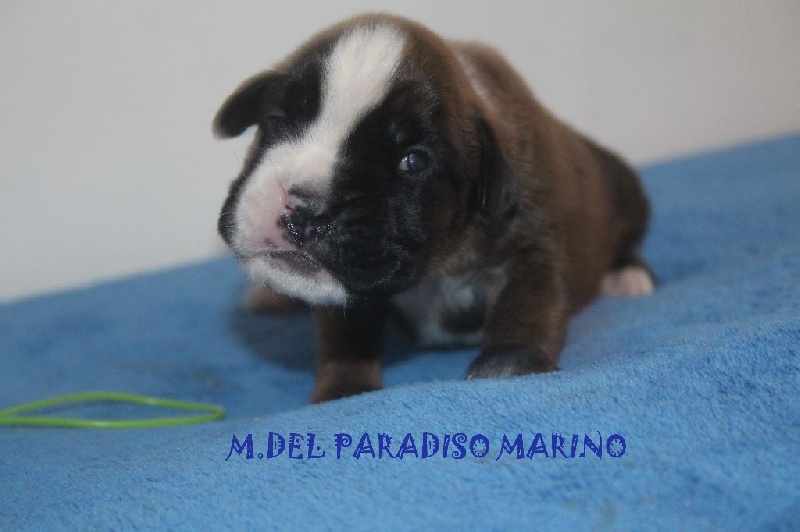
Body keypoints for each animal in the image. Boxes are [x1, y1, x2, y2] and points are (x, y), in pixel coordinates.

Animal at [214, 13, 654, 403]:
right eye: (276, 122)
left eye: (414, 161)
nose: (308, 211)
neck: (437, 266)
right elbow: (346, 335)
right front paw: (343, 387)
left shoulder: (532, 242)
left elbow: (528, 299)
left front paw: (510, 362)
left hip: (625, 192)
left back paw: (628, 274)